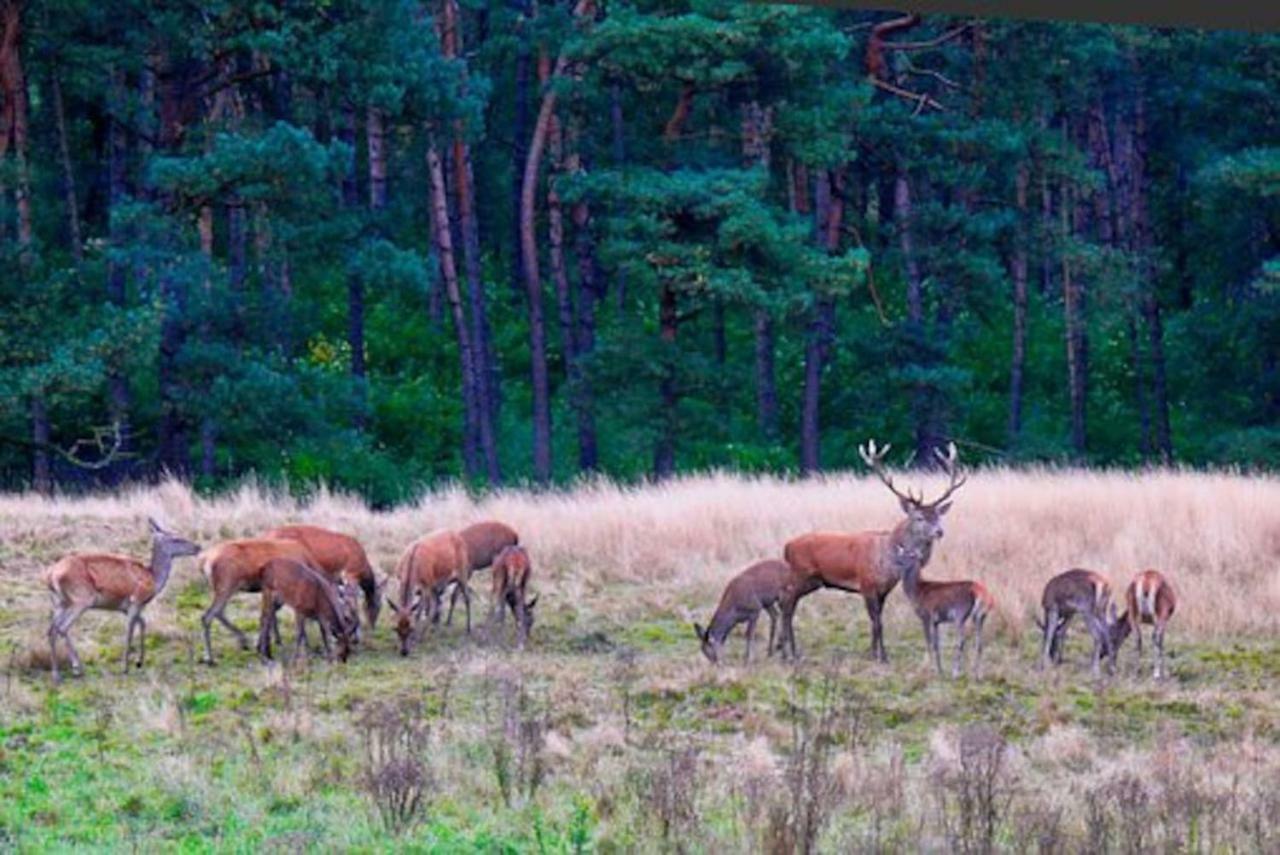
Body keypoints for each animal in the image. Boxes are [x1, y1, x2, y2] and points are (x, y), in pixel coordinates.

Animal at [44, 517, 199, 686]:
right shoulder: (136, 600)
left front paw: (139, 661)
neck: (153, 579)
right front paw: (125, 667)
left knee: (51, 630)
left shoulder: (127, 607)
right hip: (81, 599)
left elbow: (142, 624)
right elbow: (130, 631)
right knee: (62, 628)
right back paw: (78, 668)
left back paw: (56, 675)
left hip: (60, 602)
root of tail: (50, 575)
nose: (198, 547)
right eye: (176, 538)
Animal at [199, 537, 322, 665]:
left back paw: (242, 642)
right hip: (226, 587)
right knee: (208, 616)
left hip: (222, 589)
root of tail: (205, 560)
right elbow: (271, 615)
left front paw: (265, 648)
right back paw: (210, 657)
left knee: (217, 613)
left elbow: (268, 614)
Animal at [778, 440, 967, 660]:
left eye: (938, 516)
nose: (939, 531)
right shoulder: (866, 584)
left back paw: (787, 650)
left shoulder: (884, 589)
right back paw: (789, 653)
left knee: (788, 604)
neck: (888, 562)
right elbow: (876, 622)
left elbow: (878, 621)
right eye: (919, 517)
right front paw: (880, 656)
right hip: (801, 574)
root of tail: (787, 546)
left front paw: (876, 652)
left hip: (812, 581)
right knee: (786, 603)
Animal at [890, 545, 998, 675]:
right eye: (901, 553)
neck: (916, 592)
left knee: (961, 640)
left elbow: (929, 642)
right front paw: (939, 670)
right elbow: (937, 645)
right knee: (979, 643)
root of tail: (984, 593)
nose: (895, 561)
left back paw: (956, 671)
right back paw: (976, 673)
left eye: (910, 555)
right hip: (980, 617)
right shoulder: (936, 622)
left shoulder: (926, 616)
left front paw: (931, 668)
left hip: (960, 615)